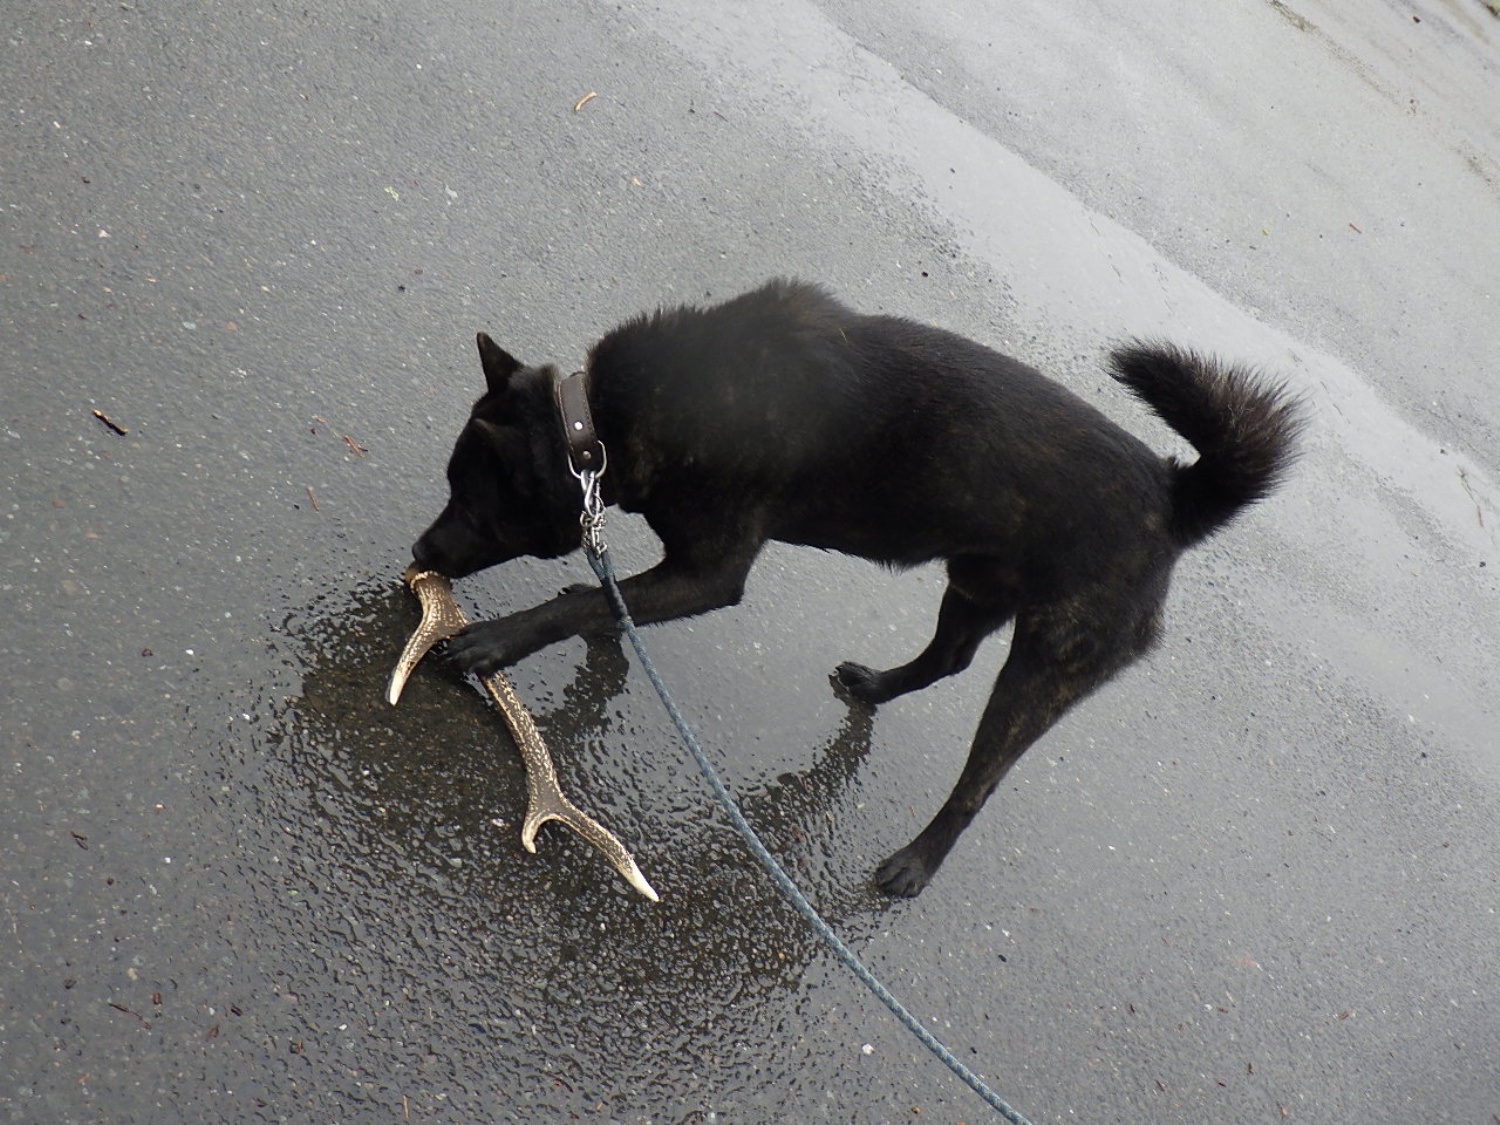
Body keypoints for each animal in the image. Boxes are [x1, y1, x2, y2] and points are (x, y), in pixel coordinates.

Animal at [411, 279, 1302, 896]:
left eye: (470, 500)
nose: (419, 549)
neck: (598, 426)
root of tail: (1174, 497)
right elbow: (609, 596)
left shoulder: (711, 573)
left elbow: (589, 596)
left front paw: (494, 639)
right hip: (975, 587)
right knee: (944, 660)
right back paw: (875, 684)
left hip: (1045, 668)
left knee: (979, 781)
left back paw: (916, 860)